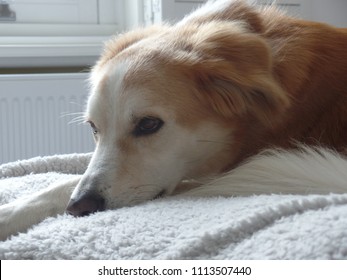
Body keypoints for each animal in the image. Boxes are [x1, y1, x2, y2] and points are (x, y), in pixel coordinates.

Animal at [0, 0, 347, 241]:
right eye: (94, 128)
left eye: (148, 124)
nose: (79, 208)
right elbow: (66, 179)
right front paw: (11, 213)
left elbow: (69, 180)